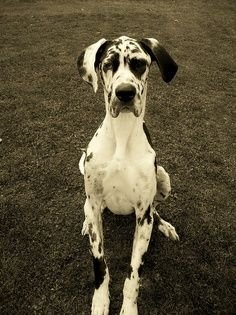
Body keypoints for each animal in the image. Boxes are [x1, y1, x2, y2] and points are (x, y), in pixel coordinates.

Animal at [77, 35, 179, 314]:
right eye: (108, 64)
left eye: (139, 64)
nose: (125, 92)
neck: (121, 136)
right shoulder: (95, 202)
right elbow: (100, 264)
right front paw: (100, 301)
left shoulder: (143, 215)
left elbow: (134, 275)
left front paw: (129, 307)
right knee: (88, 211)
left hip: (163, 178)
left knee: (157, 209)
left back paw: (164, 225)